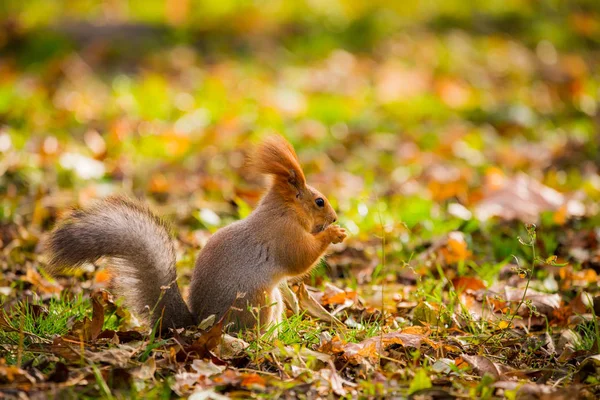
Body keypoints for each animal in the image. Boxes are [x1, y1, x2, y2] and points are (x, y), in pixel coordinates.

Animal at [45, 136, 346, 332]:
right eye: (319, 201)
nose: (334, 217)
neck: (285, 211)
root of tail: (199, 324)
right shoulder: (284, 235)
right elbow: (301, 259)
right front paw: (334, 233)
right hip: (257, 300)